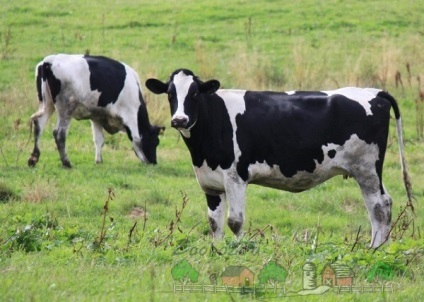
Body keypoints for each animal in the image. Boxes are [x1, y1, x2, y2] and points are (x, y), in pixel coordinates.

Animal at [28, 54, 164, 168]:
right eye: (156, 141)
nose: (154, 162)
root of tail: (48, 61)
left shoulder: (96, 116)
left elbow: (99, 139)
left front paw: (99, 161)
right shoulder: (130, 115)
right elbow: (136, 139)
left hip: (47, 104)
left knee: (39, 125)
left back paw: (34, 158)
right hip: (66, 108)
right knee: (59, 133)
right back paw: (66, 162)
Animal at [147, 68, 412, 248]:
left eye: (194, 94)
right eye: (169, 94)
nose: (179, 120)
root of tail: (372, 91)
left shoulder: (235, 177)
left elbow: (235, 221)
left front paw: (239, 250)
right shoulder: (210, 182)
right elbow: (214, 222)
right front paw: (218, 250)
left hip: (366, 168)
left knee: (379, 206)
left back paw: (374, 249)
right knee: (383, 204)